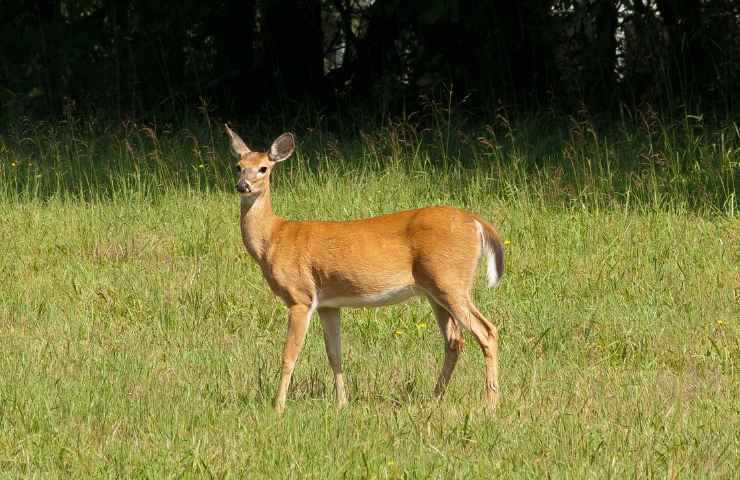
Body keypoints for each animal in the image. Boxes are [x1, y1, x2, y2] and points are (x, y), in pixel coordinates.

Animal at [224, 124, 502, 412]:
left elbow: (289, 355)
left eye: (263, 168)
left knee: (487, 331)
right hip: (434, 290)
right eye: (238, 166)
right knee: (454, 341)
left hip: (450, 281)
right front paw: (342, 404)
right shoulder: (328, 304)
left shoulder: (300, 297)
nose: (242, 186)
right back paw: (435, 398)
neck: (274, 238)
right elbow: (334, 354)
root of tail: (477, 222)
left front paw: (278, 407)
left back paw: (490, 404)